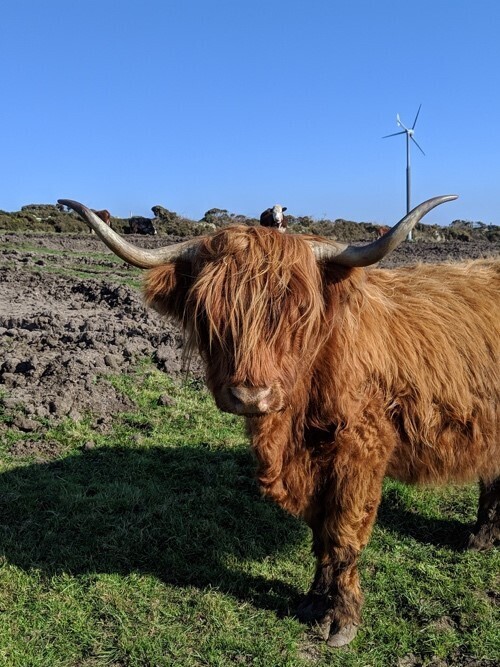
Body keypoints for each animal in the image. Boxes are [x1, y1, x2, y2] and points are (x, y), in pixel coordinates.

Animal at [57, 195, 499, 648]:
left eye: (296, 311)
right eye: (210, 313)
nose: (250, 395)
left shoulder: (361, 452)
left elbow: (343, 534)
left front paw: (342, 620)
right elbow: (321, 535)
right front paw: (313, 603)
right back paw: (481, 539)